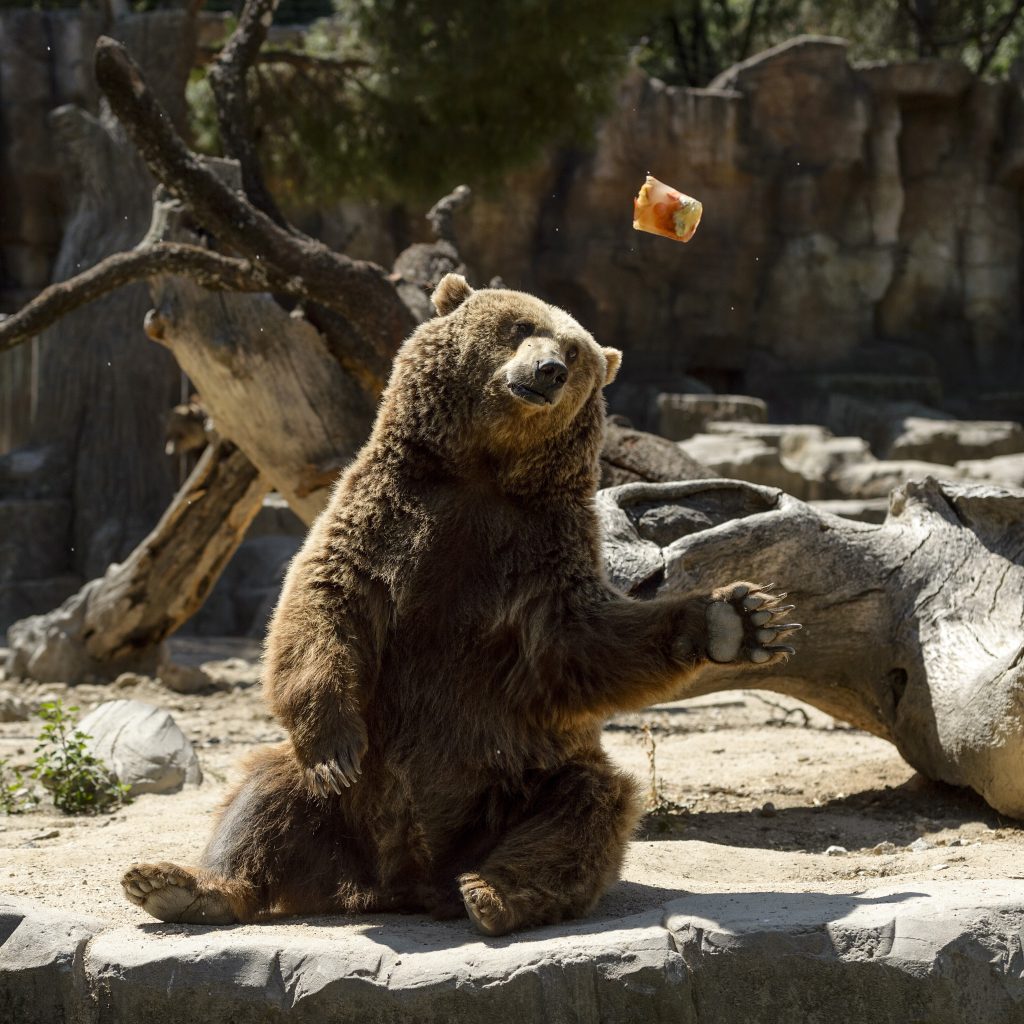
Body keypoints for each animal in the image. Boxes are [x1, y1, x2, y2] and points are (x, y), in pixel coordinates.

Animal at [121, 274, 799, 936]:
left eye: (576, 352)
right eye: (521, 326)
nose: (550, 369)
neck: (483, 471)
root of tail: (399, 882)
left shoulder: (539, 551)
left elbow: (582, 642)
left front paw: (739, 619)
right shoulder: (384, 515)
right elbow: (324, 603)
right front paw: (335, 745)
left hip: (518, 777)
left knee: (585, 809)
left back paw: (494, 894)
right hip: (345, 797)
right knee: (265, 795)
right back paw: (179, 886)